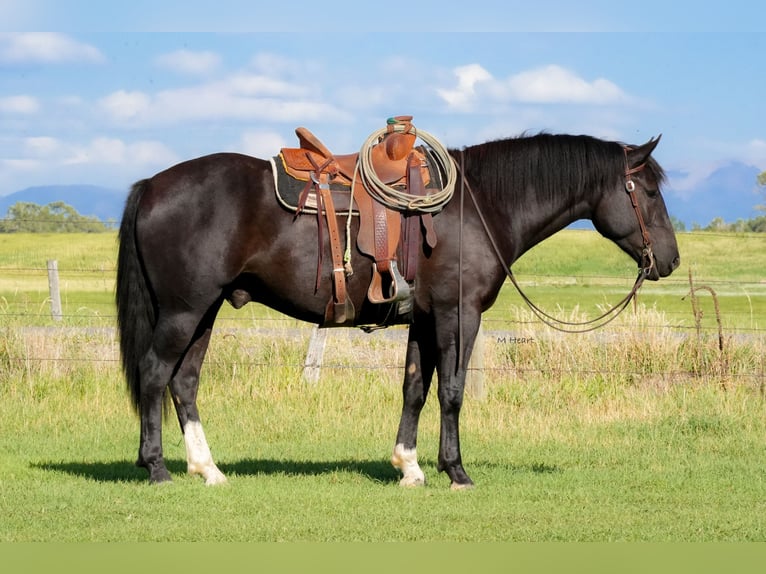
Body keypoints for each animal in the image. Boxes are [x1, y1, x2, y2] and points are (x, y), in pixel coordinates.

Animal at [116, 130, 680, 488]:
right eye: (650, 191)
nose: (670, 260)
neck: (476, 207)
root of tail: (152, 184)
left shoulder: (424, 319)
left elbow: (414, 389)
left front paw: (409, 467)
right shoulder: (457, 315)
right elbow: (451, 391)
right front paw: (456, 471)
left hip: (204, 311)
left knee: (184, 383)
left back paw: (208, 469)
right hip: (184, 311)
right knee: (154, 375)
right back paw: (157, 467)